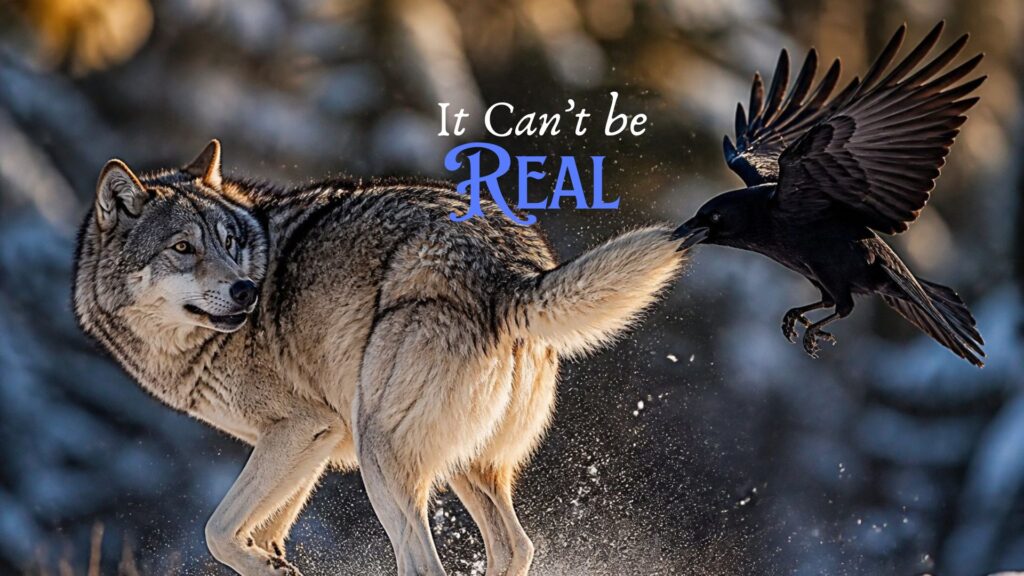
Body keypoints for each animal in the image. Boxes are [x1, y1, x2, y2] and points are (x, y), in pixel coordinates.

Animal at [72, 140, 690, 576]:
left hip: (381, 454)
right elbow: (264, 532)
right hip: (465, 465)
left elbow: (217, 531)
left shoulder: (302, 428)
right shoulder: (311, 444)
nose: (247, 290)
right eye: (183, 248)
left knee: (425, 565)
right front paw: (276, 564)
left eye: (229, 243)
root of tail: (510, 272)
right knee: (515, 549)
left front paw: (265, 563)